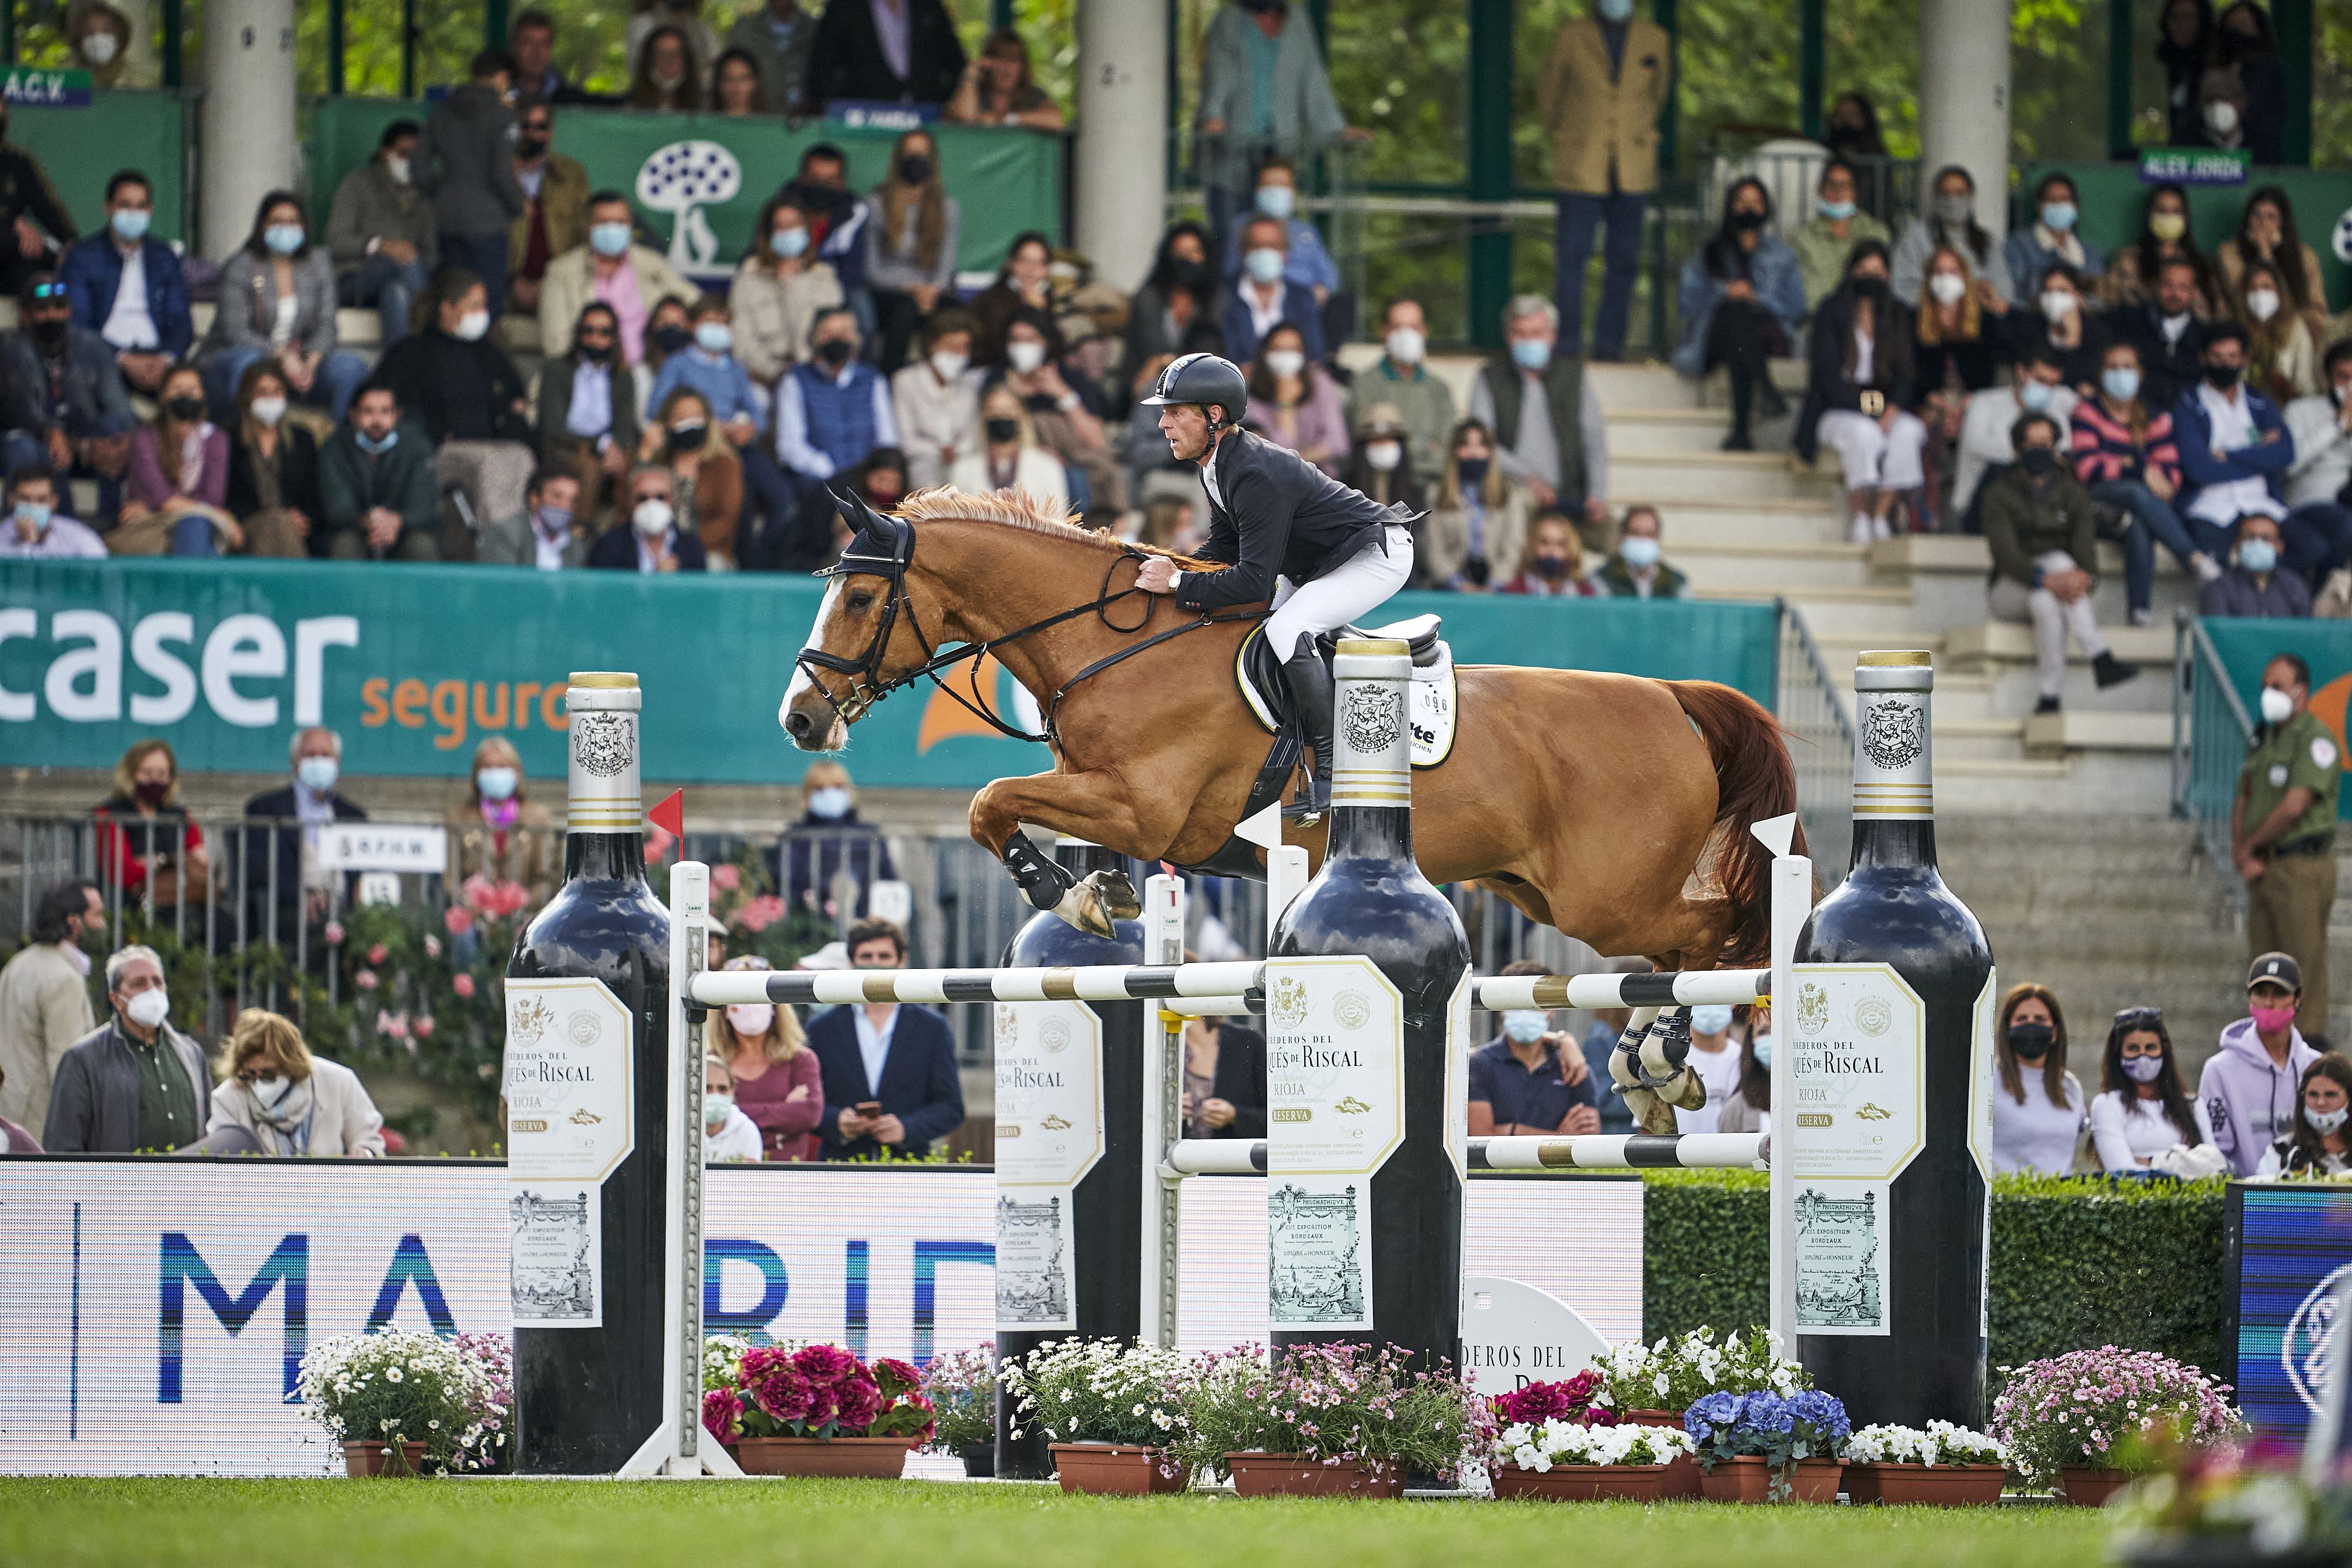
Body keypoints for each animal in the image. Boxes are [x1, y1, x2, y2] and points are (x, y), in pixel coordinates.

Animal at [780, 488, 1803, 975]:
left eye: (862, 597)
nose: (800, 716)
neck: (1111, 644)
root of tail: (1672, 697)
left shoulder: (1147, 809)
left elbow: (991, 802)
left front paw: (1063, 897)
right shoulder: (1116, 804)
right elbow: (1018, 812)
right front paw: (1098, 891)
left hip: (1608, 897)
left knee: (1719, 931)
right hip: (1549, 894)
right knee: (1684, 946)